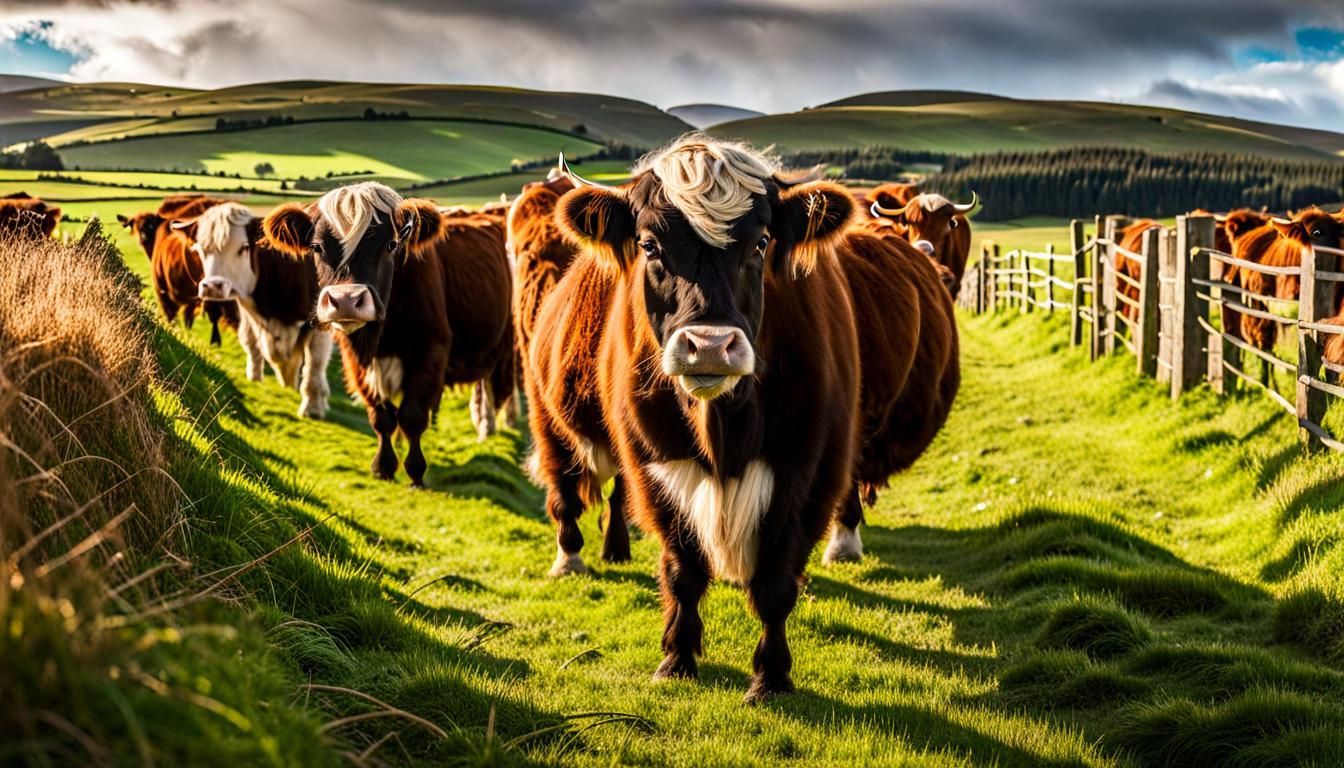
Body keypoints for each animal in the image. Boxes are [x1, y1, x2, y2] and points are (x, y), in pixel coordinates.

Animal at [174, 202, 332, 419]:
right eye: (201, 249)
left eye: (244, 247)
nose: (213, 286)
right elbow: (254, 343)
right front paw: (262, 376)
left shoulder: (319, 323)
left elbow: (314, 364)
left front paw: (313, 407)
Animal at [262, 182, 514, 487]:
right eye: (317, 247)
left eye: (391, 245)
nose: (346, 300)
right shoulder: (356, 357)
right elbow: (381, 417)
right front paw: (383, 466)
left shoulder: (431, 349)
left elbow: (412, 415)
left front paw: (416, 471)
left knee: (492, 387)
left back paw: (489, 427)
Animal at [554, 138, 862, 702]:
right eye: (650, 245)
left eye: (761, 243)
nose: (711, 346)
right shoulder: (653, 468)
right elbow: (683, 571)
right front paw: (676, 658)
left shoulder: (808, 472)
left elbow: (775, 583)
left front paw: (771, 676)